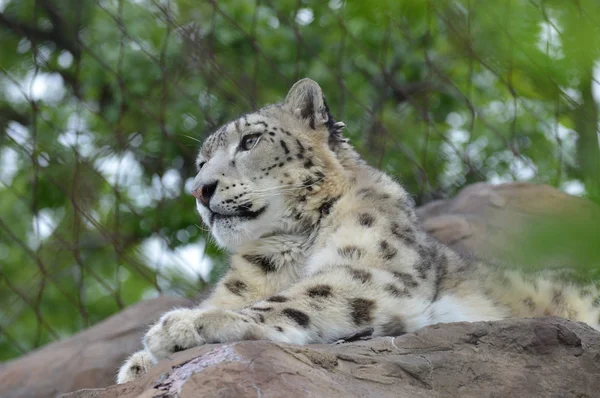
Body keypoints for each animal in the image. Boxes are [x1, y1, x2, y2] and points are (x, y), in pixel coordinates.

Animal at [116, 76, 600, 384]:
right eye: (201, 162)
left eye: (250, 141)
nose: (200, 189)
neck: (286, 250)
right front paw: (137, 363)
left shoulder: (376, 270)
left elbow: (301, 296)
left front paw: (186, 324)